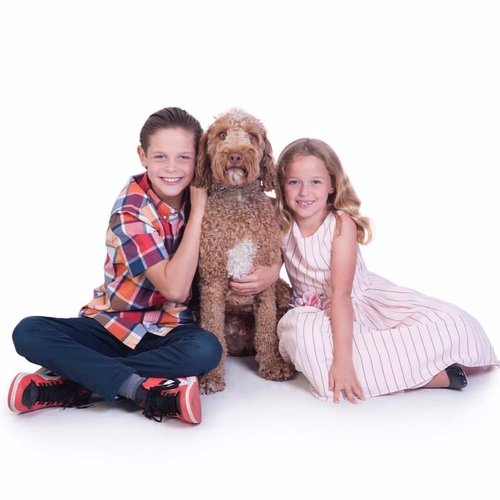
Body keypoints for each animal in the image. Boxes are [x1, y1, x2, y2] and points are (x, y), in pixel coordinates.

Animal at [193, 109, 294, 394]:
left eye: (252, 135)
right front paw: (211, 377)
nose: (236, 155)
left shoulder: (266, 281)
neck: (237, 199)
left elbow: (267, 327)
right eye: (222, 134)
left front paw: (272, 364)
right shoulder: (212, 281)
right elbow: (213, 330)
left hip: (283, 289)